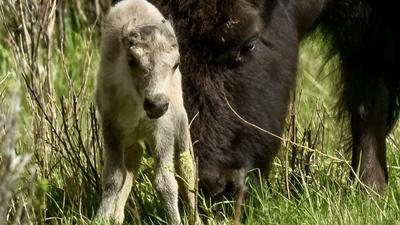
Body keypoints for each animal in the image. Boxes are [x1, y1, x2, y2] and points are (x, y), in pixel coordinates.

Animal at [95, 0, 198, 224]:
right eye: (132, 60)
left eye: (176, 64)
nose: (157, 104)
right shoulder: (112, 131)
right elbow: (114, 177)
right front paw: (101, 217)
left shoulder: (162, 132)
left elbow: (165, 181)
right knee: (134, 157)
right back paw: (117, 216)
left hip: (181, 125)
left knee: (187, 169)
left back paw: (196, 218)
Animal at [108, 0, 398, 200]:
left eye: (249, 44)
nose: (212, 186)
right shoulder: (363, 38)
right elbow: (367, 107)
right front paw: (371, 194)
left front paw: (370, 196)